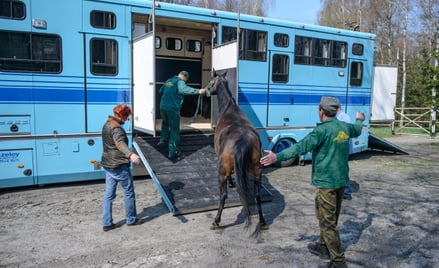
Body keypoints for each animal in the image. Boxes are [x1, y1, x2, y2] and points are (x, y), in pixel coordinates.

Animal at [207, 70, 268, 233]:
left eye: (211, 82)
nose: (207, 91)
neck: (229, 108)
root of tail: (243, 141)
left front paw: (231, 183)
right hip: (257, 171)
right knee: (257, 195)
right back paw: (263, 221)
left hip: (222, 173)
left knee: (223, 196)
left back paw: (216, 221)